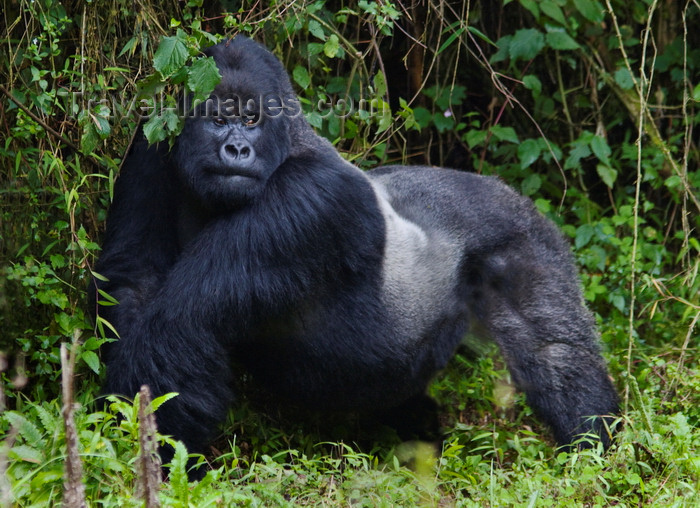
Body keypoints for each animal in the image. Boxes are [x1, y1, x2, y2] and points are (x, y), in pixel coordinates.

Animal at [93, 35, 616, 464]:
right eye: (218, 119)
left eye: (251, 119)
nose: (237, 150)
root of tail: (511, 192)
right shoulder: (152, 147)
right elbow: (134, 279)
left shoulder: (310, 197)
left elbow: (181, 326)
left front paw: (158, 457)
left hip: (524, 238)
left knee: (557, 355)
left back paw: (592, 448)